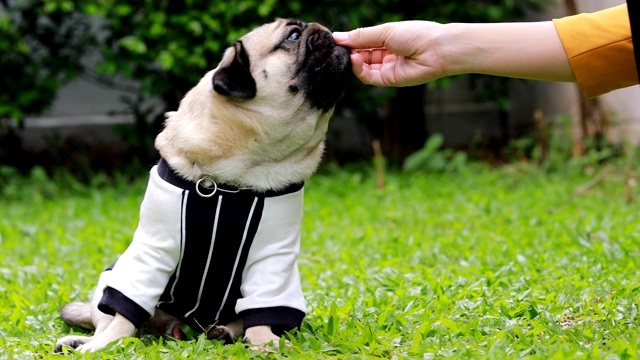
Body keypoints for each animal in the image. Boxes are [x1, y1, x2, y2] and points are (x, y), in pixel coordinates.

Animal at [56, 18, 350, 352]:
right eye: (294, 35)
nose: (325, 30)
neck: (238, 177)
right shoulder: (153, 250)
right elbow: (123, 317)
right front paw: (105, 345)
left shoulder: (272, 258)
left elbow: (261, 314)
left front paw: (265, 343)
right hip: (112, 277)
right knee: (117, 318)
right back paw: (83, 340)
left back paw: (225, 331)